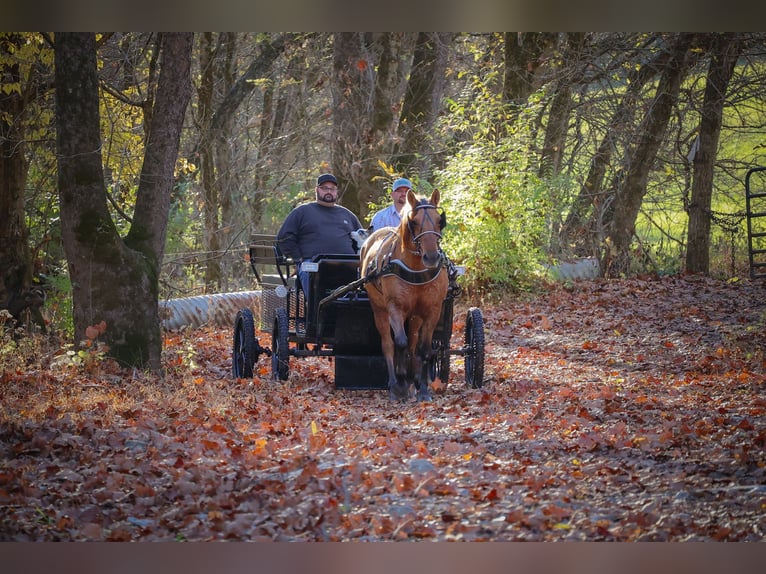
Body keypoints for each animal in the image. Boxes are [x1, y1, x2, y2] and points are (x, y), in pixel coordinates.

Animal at [360, 188, 448, 402]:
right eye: (414, 222)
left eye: (439, 220)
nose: (431, 257)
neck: (416, 269)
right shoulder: (395, 307)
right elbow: (399, 342)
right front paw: (399, 383)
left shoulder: (432, 310)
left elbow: (423, 349)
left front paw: (422, 388)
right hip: (379, 309)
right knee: (388, 343)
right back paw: (395, 383)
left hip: (415, 316)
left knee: (413, 344)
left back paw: (412, 381)